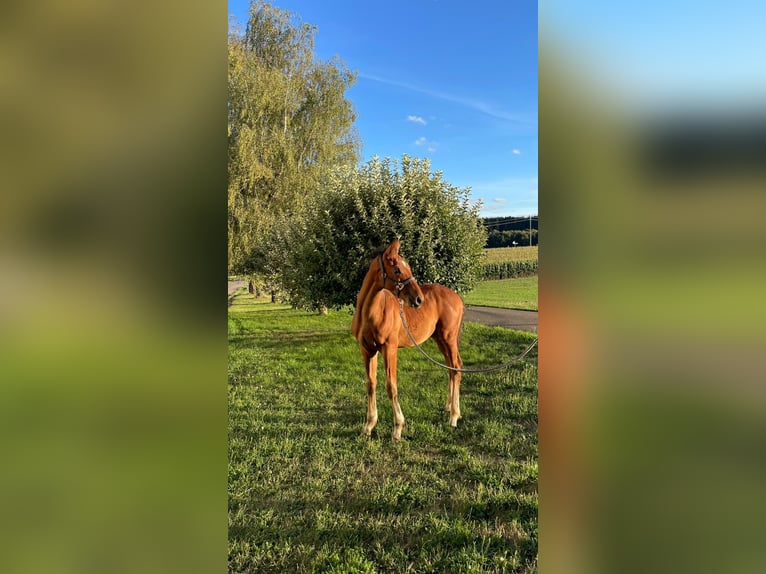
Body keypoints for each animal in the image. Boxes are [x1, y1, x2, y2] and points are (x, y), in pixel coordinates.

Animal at [351, 239, 465, 440]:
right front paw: (368, 426)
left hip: (449, 338)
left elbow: (391, 386)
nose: (419, 299)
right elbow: (371, 384)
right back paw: (449, 408)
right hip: (440, 339)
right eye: (397, 269)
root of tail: (457, 298)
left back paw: (454, 416)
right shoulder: (367, 349)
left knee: (456, 368)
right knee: (451, 369)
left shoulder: (389, 348)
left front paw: (397, 428)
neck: (371, 313)